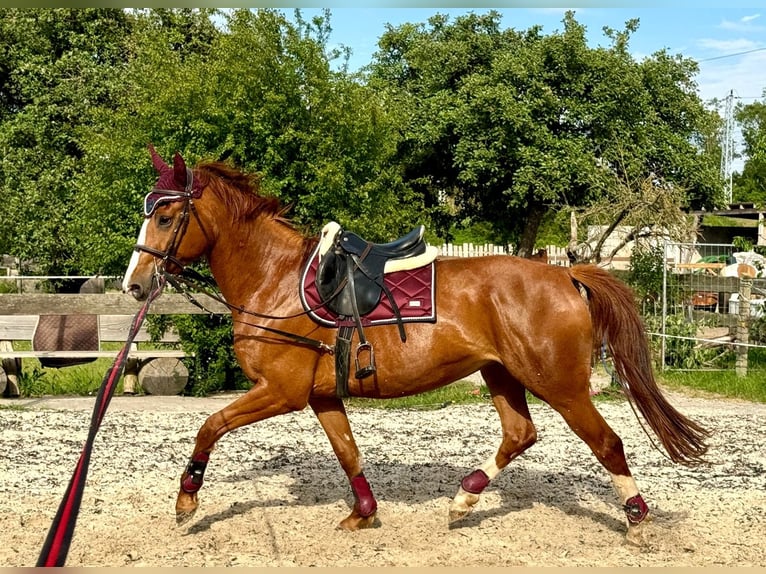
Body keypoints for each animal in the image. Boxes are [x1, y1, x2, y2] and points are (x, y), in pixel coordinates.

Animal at [122, 145, 709, 545]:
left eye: (167, 217)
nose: (135, 283)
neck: (278, 281)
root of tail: (565, 275)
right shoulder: (320, 396)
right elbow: (348, 451)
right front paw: (363, 512)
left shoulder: (281, 392)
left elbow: (209, 425)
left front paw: (187, 498)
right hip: (502, 375)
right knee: (520, 434)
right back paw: (463, 500)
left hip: (561, 385)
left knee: (607, 443)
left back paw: (636, 520)